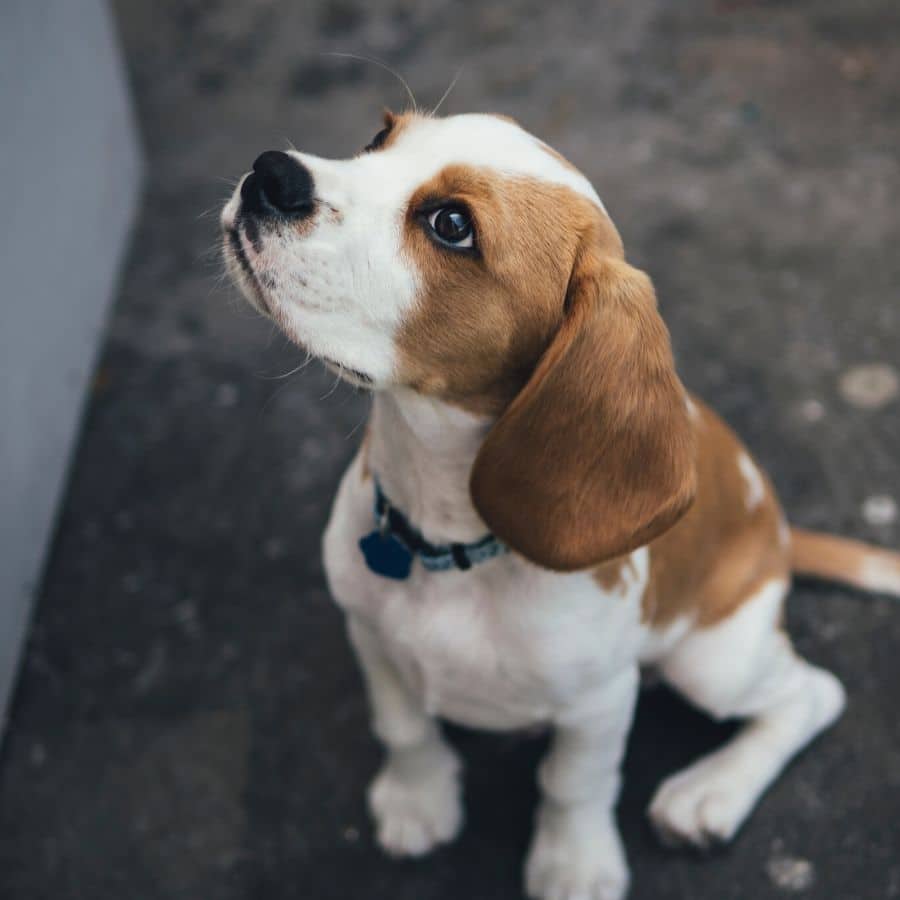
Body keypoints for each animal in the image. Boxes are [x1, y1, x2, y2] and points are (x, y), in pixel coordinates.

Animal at [223, 110, 900, 900]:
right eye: (378, 138)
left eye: (451, 224)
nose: (271, 173)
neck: (448, 541)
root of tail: (783, 533)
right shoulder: (370, 634)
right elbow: (406, 728)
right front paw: (418, 800)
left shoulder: (598, 702)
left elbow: (573, 784)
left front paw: (573, 863)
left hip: (713, 660)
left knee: (814, 694)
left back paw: (710, 793)